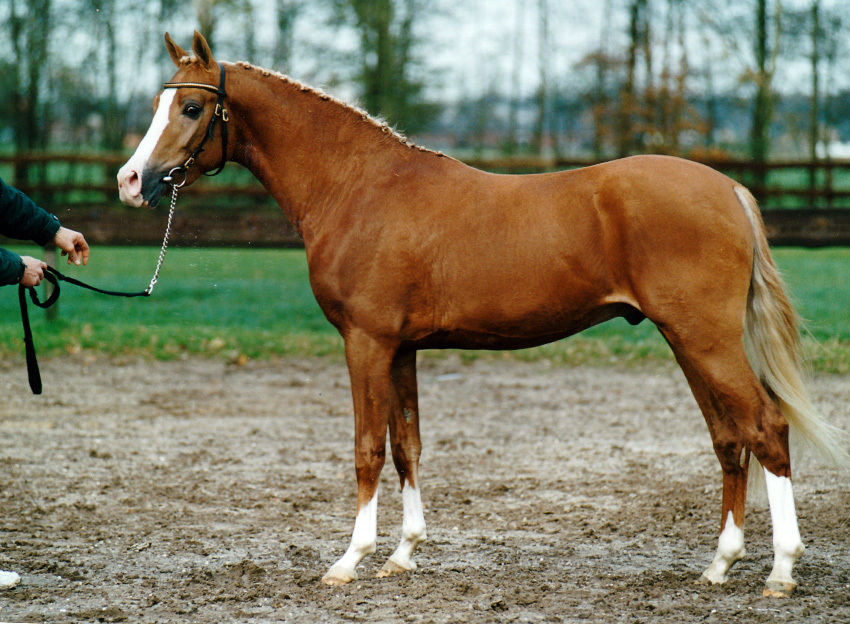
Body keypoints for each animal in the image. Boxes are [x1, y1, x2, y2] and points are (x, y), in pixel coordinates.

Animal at [117, 31, 846, 597]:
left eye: (190, 106)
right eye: (158, 103)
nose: (129, 181)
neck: (358, 187)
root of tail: (728, 188)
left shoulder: (365, 341)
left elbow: (366, 448)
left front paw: (349, 560)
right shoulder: (402, 347)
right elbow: (406, 445)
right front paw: (403, 555)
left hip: (705, 338)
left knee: (765, 427)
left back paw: (781, 571)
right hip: (689, 341)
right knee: (729, 439)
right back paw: (720, 565)